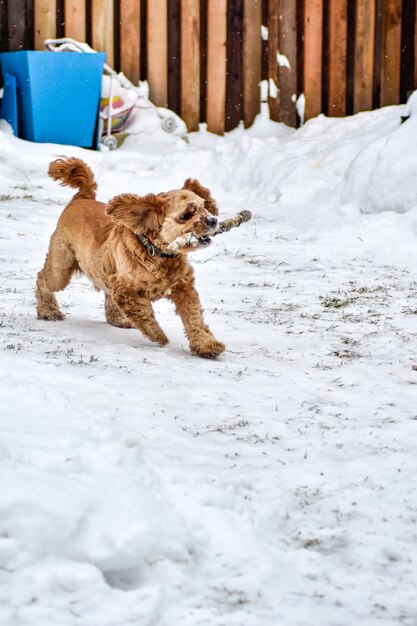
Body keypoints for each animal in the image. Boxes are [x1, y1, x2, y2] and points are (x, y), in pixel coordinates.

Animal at [35, 157, 224, 356]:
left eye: (204, 207)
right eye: (186, 214)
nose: (213, 220)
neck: (159, 254)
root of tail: (81, 198)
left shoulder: (184, 288)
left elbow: (195, 319)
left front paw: (207, 344)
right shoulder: (125, 290)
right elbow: (143, 313)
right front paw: (159, 335)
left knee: (107, 295)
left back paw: (117, 319)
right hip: (61, 268)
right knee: (42, 279)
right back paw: (49, 312)